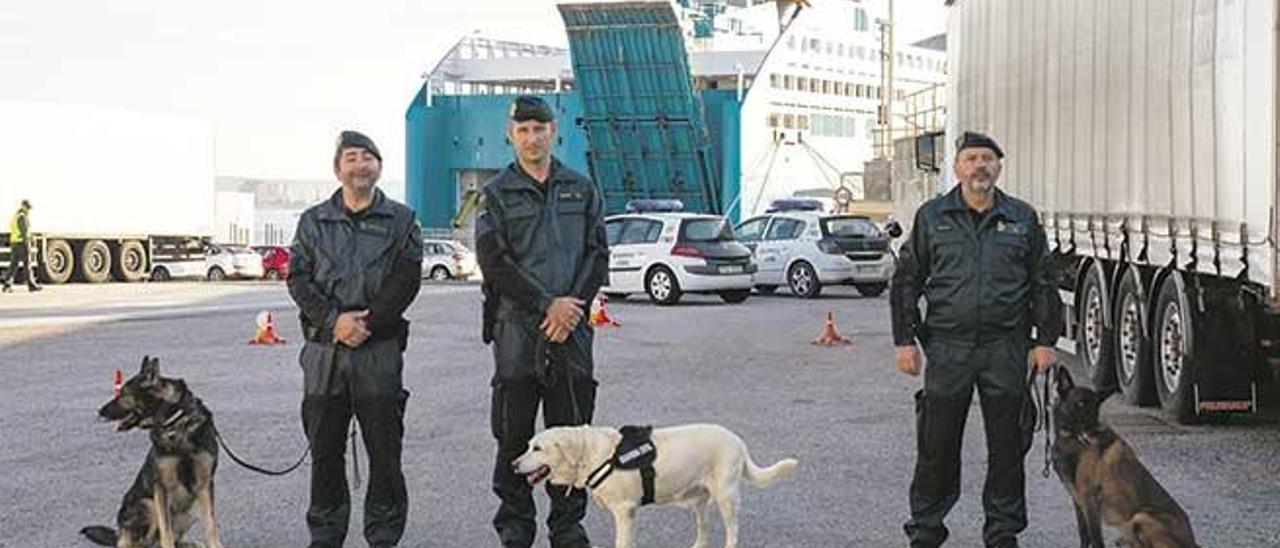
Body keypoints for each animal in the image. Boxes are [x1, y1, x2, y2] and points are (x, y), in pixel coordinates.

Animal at [81, 355, 224, 548]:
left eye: (123, 394)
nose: (100, 411)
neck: (175, 423)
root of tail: (119, 534)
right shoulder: (161, 488)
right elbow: (166, 531)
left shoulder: (204, 485)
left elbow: (210, 525)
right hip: (147, 506)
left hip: (191, 508)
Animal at [512, 425, 793, 548]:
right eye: (528, 446)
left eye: (537, 448)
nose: (513, 465)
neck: (591, 454)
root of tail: (738, 440)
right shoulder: (629, 514)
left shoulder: (624, 510)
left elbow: (622, 542)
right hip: (700, 500)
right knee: (704, 528)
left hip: (726, 496)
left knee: (732, 530)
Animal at [1049, 366, 1198, 548]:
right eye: (1080, 404)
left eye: (1096, 409)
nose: (1095, 431)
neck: (1071, 439)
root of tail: (1193, 543)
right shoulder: (1078, 501)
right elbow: (1084, 535)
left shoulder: (1089, 501)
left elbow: (1096, 539)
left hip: (1141, 516)